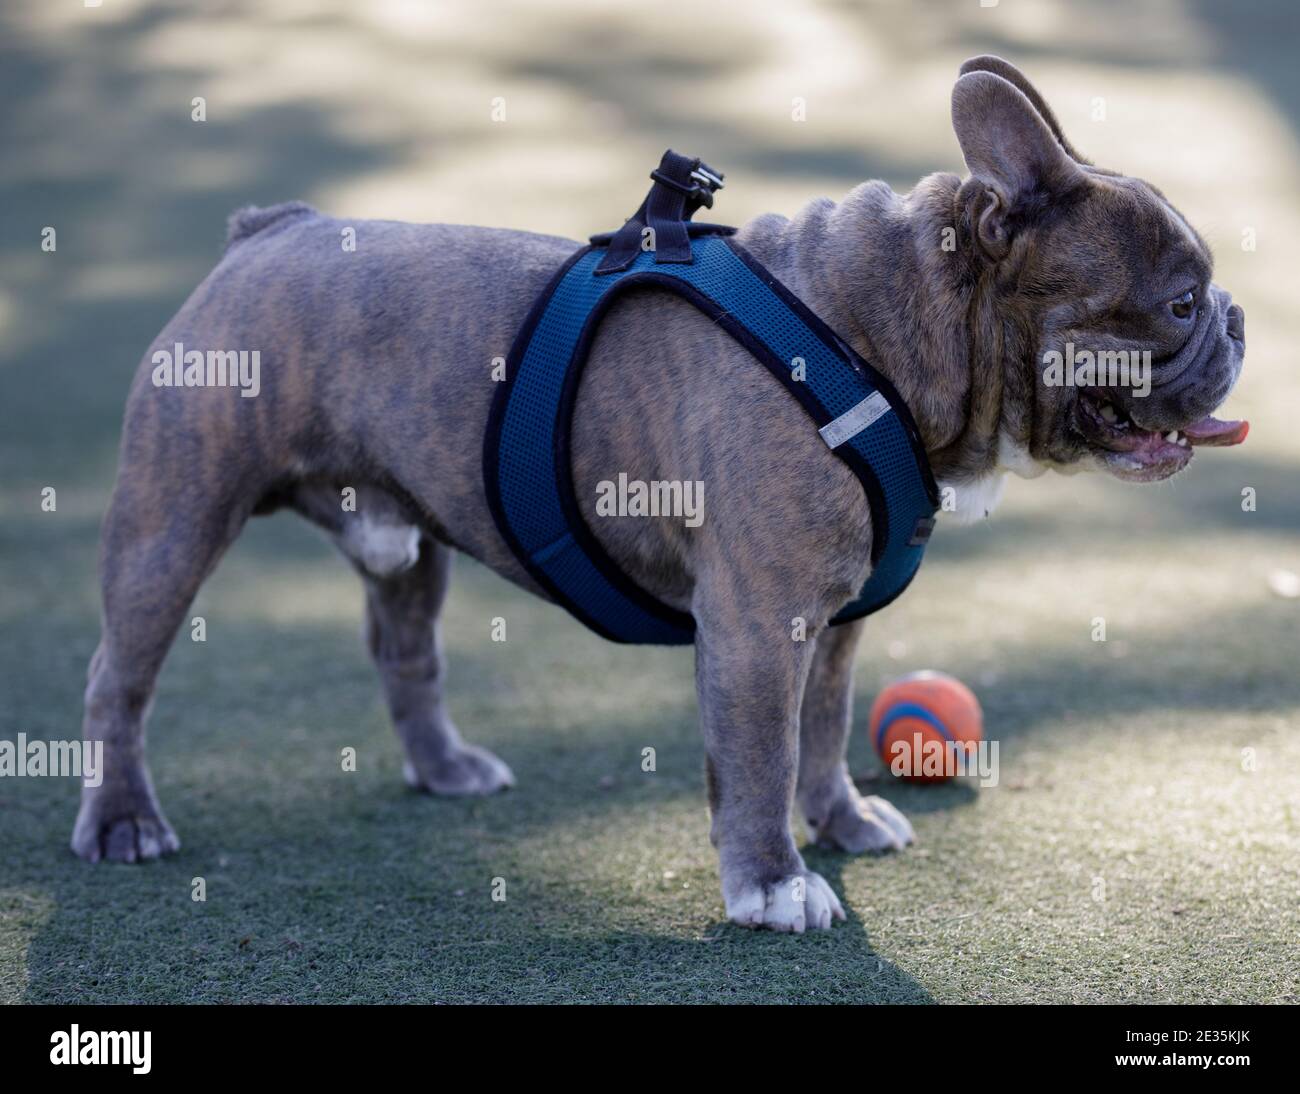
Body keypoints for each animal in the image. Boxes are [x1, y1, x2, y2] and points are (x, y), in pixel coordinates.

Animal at [73, 57, 1248, 930]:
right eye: (1180, 301)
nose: (1238, 318)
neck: (879, 332)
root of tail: (271, 229)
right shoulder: (757, 624)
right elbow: (761, 755)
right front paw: (774, 885)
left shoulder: (833, 626)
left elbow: (821, 734)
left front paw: (841, 822)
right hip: (172, 523)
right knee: (118, 680)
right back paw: (123, 820)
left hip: (406, 546)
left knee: (406, 653)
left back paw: (444, 767)